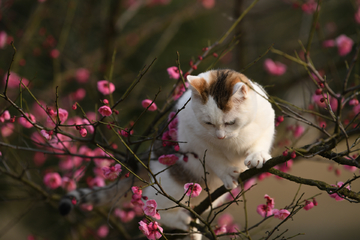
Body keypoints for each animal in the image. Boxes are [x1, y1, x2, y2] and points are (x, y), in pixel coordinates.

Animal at [59, 69, 274, 238]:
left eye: (230, 123)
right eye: (208, 123)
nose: (220, 136)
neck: (231, 140)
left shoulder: (266, 123)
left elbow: (260, 142)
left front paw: (257, 156)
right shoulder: (197, 142)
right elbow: (215, 159)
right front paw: (227, 173)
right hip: (170, 186)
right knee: (155, 204)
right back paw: (182, 221)